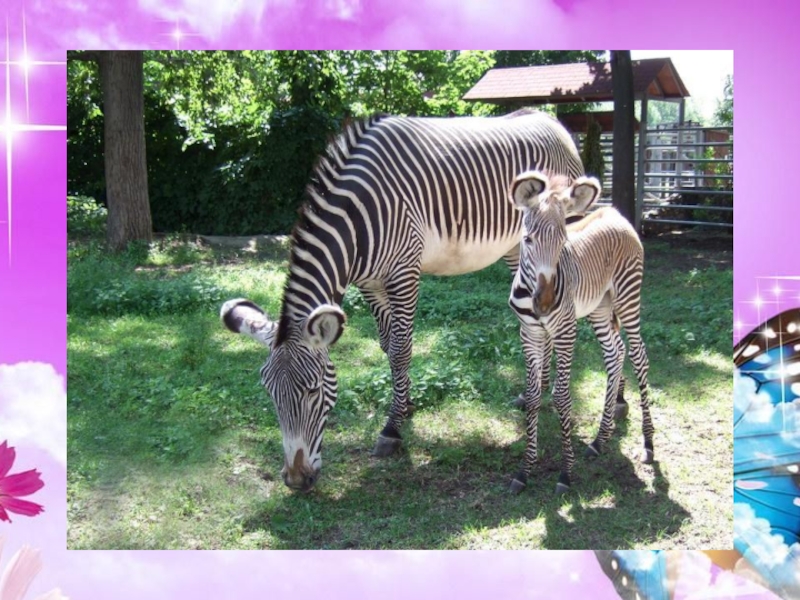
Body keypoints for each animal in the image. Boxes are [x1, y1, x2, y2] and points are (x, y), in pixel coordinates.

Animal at [225, 109, 612, 492]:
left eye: (312, 390)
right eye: (269, 393)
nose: (295, 481)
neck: (357, 220)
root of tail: (550, 119)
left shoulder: (404, 274)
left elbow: (401, 349)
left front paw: (392, 428)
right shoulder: (370, 283)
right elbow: (386, 346)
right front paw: (405, 405)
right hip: (518, 249)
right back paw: (536, 390)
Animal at [506, 171, 656, 494]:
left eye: (563, 241)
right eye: (528, 239)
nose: (545, 303)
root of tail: (614, 212)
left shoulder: (565, 330)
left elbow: (562, 397)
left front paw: (565, 473)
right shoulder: (530, 333)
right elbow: (534, 396)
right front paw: (525, 470)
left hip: (628, 297)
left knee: (639, 357)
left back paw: (649, 443)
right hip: (600, 307)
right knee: (615, 354)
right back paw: (600, 439)